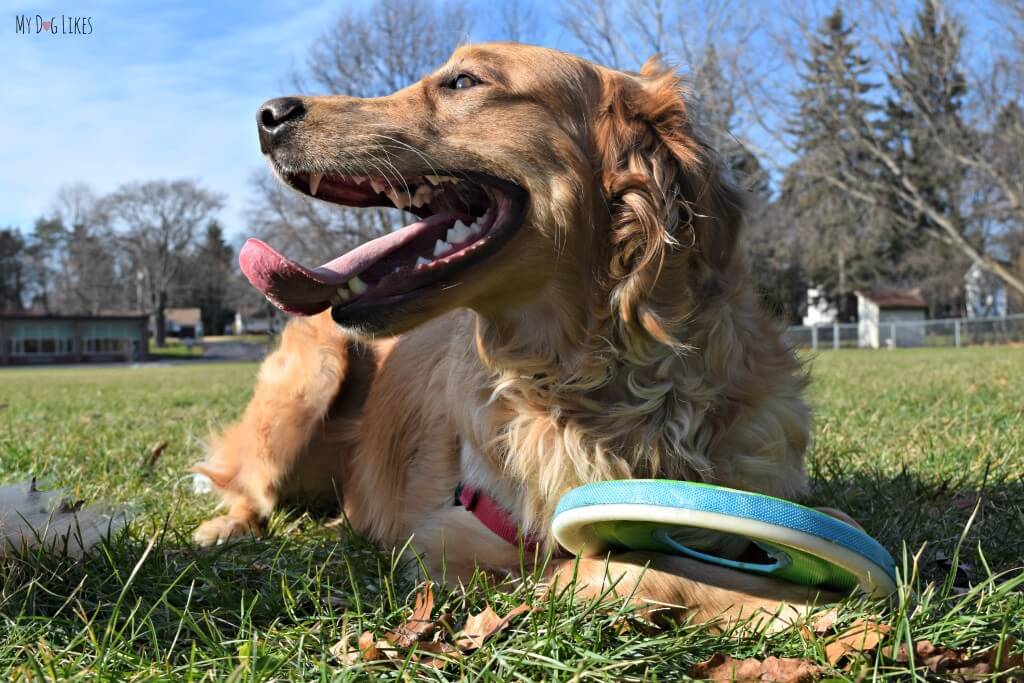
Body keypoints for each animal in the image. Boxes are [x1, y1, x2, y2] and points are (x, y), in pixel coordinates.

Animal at [195, 42, 835, 626]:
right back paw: (225, 527)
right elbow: (633, 568)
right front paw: (800, 608)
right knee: (249, 485)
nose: (269, 114)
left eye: (463, 81)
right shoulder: (457, 546)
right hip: (309, 384)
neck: (604, 381)